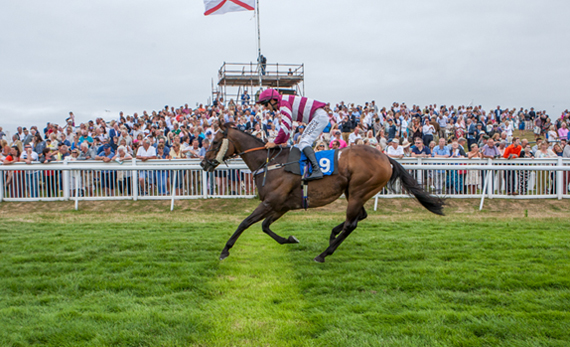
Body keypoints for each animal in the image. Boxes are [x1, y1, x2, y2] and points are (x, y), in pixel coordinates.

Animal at [200, 121, 444, 262]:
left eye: (215, 141)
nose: (203, 163)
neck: (270, 163)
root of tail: (386, 158)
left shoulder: (271, 202)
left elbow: (245, 223)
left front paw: (225, 251)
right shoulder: (281, 205)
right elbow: (265, 226)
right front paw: (290, 239)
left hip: (358, 190)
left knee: (351, 223)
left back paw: (323, 254)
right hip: (354, 192)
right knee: (359, 217)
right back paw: (332, 236)